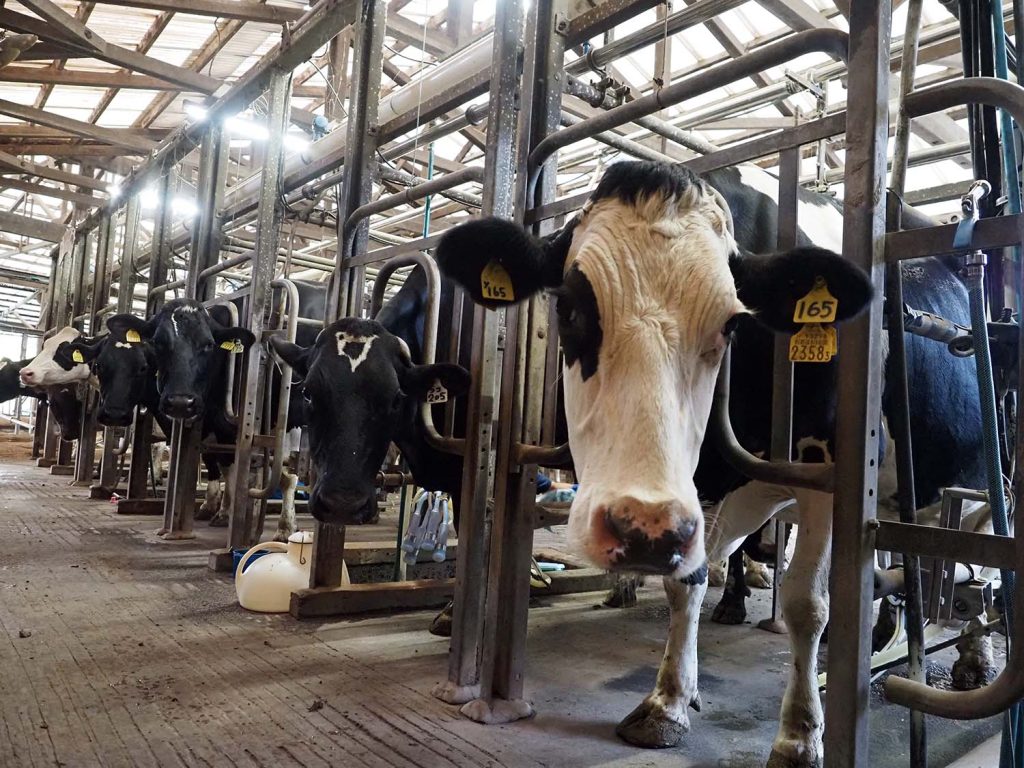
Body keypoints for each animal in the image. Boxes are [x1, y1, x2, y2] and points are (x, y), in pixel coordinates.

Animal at [436, 159, 987, 765]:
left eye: (731, 324)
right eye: (569, 307)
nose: (635, 528)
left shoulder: (827, 473)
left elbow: (805, 603)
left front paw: (799, 735)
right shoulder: (692, 496)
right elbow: (687, 581)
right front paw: (669, 701)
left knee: (977, 564)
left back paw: (973, 659)